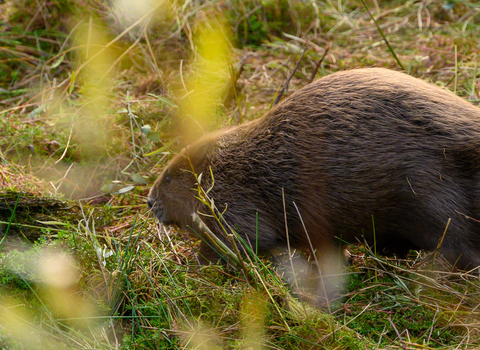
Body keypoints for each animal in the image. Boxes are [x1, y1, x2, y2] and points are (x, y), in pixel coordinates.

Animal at [146, 68, 480, 270]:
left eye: (170, 176)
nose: (149, 201)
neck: (233, 167)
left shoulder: (236, 205)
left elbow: (241, 241)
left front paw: (195, 263)